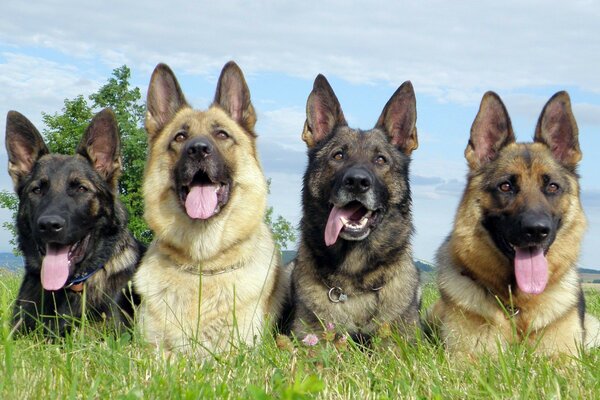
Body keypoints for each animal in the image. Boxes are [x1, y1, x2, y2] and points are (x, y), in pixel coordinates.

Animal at [135, 61, 284, 354]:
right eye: (180, 136)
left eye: (221, 134)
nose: (198, 149)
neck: (203, 265)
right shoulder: (147, 348)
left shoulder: (239, 352)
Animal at [426, 91, 600, 356]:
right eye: (506, 186)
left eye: (552, 187)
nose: (536, 230)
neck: (517, 306)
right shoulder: (466, 357)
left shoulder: (564, 357)